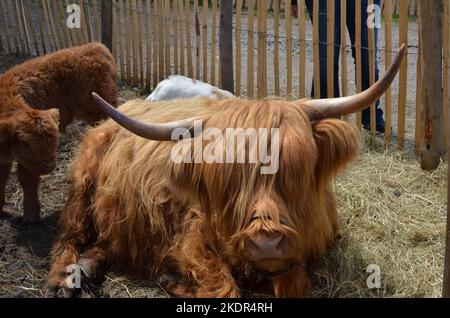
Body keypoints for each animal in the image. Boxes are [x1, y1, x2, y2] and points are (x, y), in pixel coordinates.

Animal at [46, 45, 408, 298]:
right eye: (228, 180)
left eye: (296, 168)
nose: (266, 243)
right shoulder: (193, 239)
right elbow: (223, 286)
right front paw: (171, 278)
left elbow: (293, 282)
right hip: (83, 183)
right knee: (69, 232)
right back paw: (65, 276)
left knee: (108, 240)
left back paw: (88, 266)